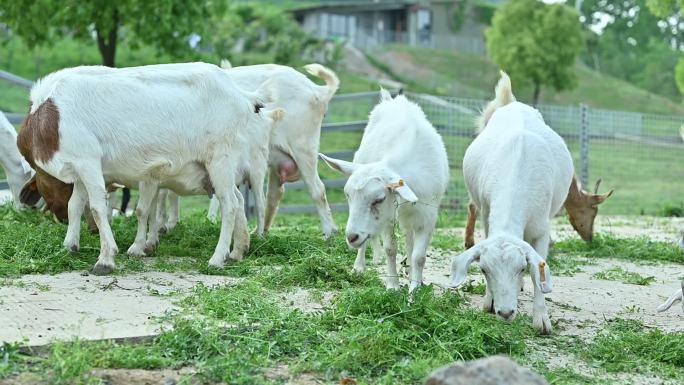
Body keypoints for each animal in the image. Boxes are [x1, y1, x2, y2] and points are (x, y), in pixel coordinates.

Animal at [18, 62, 280, 272]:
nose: (57, 216)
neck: (51, 116)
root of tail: (242, 95)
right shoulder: (81, 168)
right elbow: (76, 205)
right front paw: (70, 245)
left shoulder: (88, 161)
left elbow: (97, 208)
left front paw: (106, 258)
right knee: (238, 199)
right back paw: (238, 250)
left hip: (221, 159)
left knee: (231, 204)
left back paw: (217, 258)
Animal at [206, 60, 340, 237]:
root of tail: (318, 91)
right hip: (277, 157)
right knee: (274, 194)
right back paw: (258, 231)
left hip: (303, 147)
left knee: (317, 189)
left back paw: (329, 233)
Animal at [320, 88, 448, 290]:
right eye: (348, 196)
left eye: (378, 199)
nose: (351, 236)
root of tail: (390, 100)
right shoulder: (389, 216)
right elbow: (390, 248)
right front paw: (393, 285)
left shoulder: (427, 214)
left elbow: (419, 256)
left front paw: (416, 288)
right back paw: (359, 267)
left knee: (409, 237)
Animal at [446, 73, 564, 332]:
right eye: (483, 269)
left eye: (520, 267)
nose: (506, 312)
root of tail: (511, 102)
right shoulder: (487, 214)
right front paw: (489, 302)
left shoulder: (541, 229)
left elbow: (538, 273)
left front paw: (541, 319)